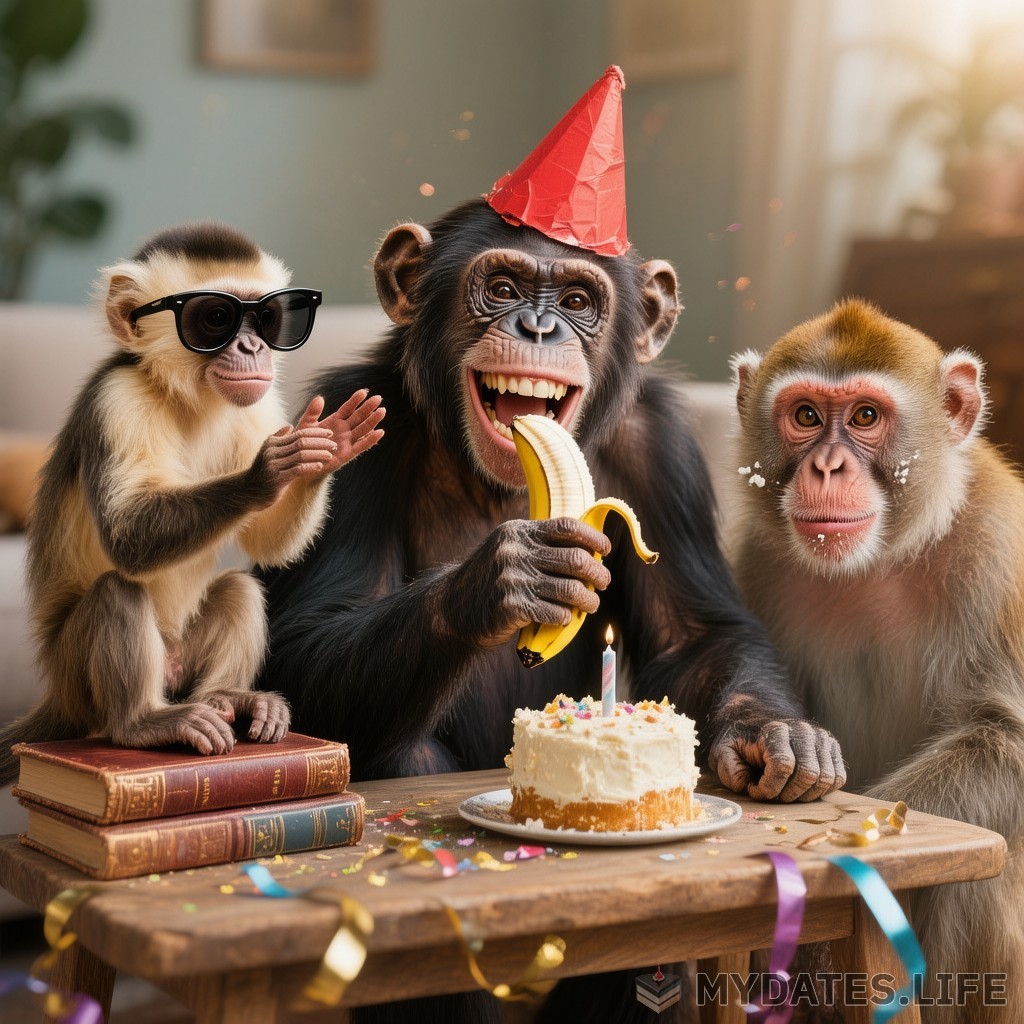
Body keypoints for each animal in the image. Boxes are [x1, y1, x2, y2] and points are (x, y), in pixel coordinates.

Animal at [0, 222, 385, 785]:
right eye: (215, 318)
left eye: (268, 318)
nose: (252, 346)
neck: (185, 397)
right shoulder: (116, 399)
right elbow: (127, 539)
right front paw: (267, 471)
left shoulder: (258, 403)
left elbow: (266, 544)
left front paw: (324, 451)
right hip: (78, 680)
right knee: (118, 592)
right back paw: (141, 723)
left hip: (181, 659)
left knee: (238, 590)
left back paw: (229, 698)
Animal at [731, 297, 1024, 1023]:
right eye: (807, 416)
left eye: (865, 417)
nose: (828, 468)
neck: (883, 556)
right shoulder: (759, 559)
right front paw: (780, 739)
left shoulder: (998, 548)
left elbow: (1006, 741)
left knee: (975, 883)